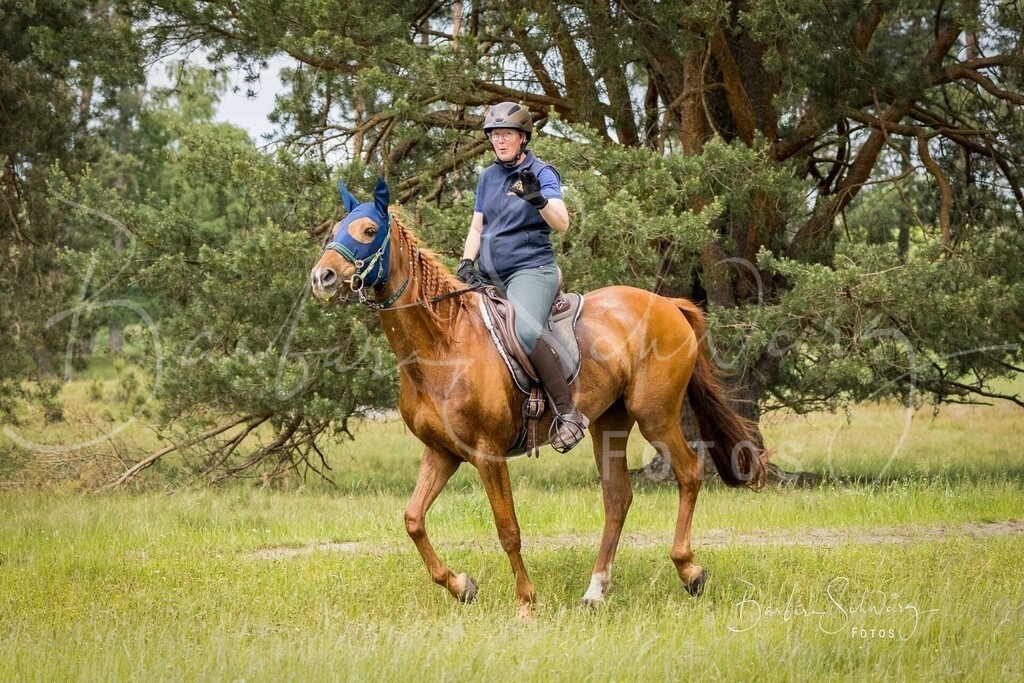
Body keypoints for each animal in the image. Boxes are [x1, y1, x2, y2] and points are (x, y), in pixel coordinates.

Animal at [311, 178, 766, 618]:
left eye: (369, 231)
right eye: (337, 229)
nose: (322, 278)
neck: (442, 344)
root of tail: (668, 304)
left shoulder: (487, 454)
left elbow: (507, 530)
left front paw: (526, 603)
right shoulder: (442, 452)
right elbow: (413, 520)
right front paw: (461, 586)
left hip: (655, 415)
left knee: (688, 472)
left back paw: (689, 571)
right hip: (609, 424)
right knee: (617, 498)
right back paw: (595, 591)